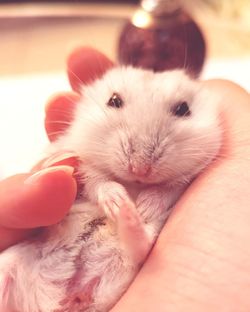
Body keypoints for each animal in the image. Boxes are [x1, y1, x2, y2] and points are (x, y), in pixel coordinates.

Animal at [0, 67, 223, 312]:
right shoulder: (82, 165)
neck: (134, 184)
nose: (140, 168)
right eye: (114, 101)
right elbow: (99, 182)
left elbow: (168, 189)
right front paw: (116, 199)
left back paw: (128, 215)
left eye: (183, 109)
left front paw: (144, 207)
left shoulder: (190, 176)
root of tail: (75, 298)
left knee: (141, 245)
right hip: (9, 263)